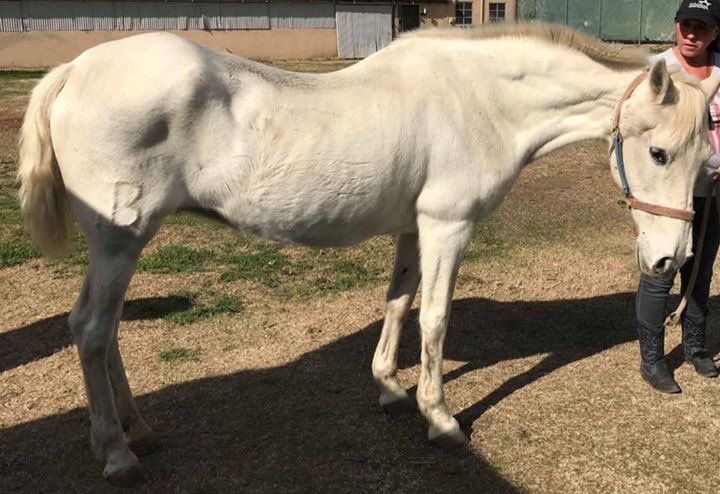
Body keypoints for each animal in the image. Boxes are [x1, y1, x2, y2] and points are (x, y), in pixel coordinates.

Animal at [17, 22, 720, 486]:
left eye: (703, 159)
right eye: (658, 153)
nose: (668, 262)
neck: (481, 98)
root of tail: (75, 70)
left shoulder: (415, 229)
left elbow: (399, 303)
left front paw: (388, 388)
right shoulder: (447, 227)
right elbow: (434, 319)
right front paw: (440, 420)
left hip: (124, 246)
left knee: (105, 332)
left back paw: (138, 429)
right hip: (119, 240)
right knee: (90, 329)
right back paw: (116, 453)